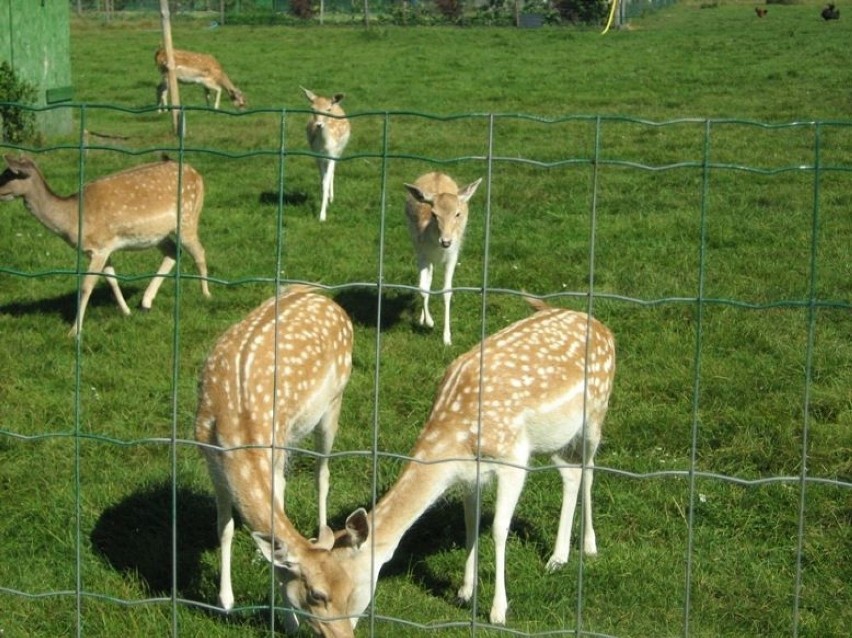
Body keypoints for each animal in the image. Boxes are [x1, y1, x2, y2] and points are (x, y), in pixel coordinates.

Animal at [0, 154, 211, 340]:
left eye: (9, 174)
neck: (72, 220)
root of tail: (198, 175)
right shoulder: (103, 249)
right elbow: (111, 279)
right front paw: (126, 311)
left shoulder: (99, 248)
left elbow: (86, 286)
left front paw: (74, 331)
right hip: (159, 234)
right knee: (174, 252)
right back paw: (145, 302)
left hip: (187, 218)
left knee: (199, 251)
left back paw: (206, 294)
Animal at [195, 288, 362, 636]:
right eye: (317, 595)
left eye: (349, 589)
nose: (345, 634)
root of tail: (324, 297)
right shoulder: (211, 462)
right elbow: (225, 527)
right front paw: (225, 601)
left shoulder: (275, 452)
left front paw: (287, 620)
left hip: (334, 399)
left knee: (322, 471)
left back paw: (323, 529)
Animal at [251, 298, 612, 628]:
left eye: (343, 587)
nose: (337, 629)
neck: (456, 437)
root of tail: (602, 327)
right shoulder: (469, 472)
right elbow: (470, 523)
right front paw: (465, 592)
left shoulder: (513, 457)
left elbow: (498, 528)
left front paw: (498, 611)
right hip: (557, 437)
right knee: (570, 473)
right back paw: (558, 558)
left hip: (596, 412)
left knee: (591, 469)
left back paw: (589, 546)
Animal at [302, 87, 352, 222]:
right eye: (312, 108)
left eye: (328, 110)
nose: (318, 125)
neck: (324, 146)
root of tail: (337, 103)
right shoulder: (317, 156)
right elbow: (322, 180)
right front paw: (322, 203)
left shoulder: (332, 155)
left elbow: (327, 179)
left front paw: (322, 216)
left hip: (340, 151)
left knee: (333, 172)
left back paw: (331, 198)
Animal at [404, 172, 480, 348]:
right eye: (433, 214)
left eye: (457, 214)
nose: (446, 241)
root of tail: (436, 172)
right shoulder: (422, 253)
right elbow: (422, 288)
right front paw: (429, 322)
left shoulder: (453, 256)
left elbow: (447, 291)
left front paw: (447, 338)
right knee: (428, 279)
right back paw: (423, 319)